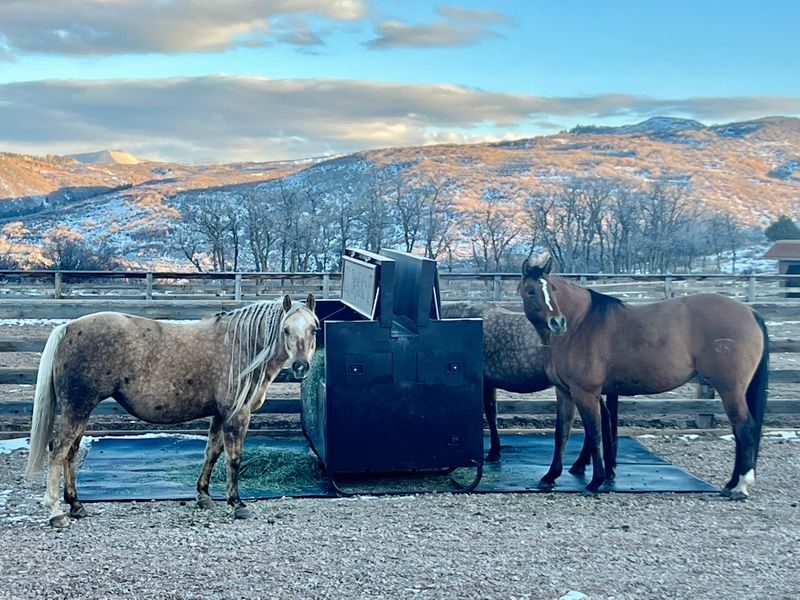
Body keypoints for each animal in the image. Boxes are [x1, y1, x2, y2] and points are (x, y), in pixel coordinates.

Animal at [26, 294, 319, 528]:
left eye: (314, 329)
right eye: (285, 329)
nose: (301, 367)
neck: (240, 346)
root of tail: (68, 327)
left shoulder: (219, 415)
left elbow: (212, 453)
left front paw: (203, 496)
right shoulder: (237, 415)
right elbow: (233, 458)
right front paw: (237, 503)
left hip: (80, 410)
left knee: (71, 452)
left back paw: (76, 505)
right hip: (78, 408)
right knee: (59, 450)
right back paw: (56, 513)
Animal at [441, 301, 618, 472]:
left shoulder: (484, 383)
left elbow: (490, 415)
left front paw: (493, 452)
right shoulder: (489, 383)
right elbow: (492, 413)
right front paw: (495, 451)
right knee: (603, 417)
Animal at [519, 257, 769, 499]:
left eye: (552, 289)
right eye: (531, 290)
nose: (557, 322)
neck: (580, 323)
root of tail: (750, 312)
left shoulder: (586, 393)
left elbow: (595, 433)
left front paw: (595, 482)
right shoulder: (565, 392)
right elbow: (562, 433)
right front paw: (550, 476)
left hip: (730, 389)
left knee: (744, 427)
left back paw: (740, 487)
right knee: (739, 430)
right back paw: (731, 484)